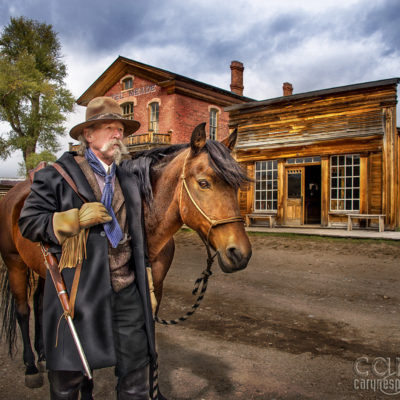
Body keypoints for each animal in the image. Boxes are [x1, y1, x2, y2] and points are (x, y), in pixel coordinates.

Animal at [0, 122, 250, 390]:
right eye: (204, 183)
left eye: (236, 185)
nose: (240, 253)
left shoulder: (154, 285)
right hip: (15, 264)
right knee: (23, 311)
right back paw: (31, 367)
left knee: (39, 303)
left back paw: (44, 355)